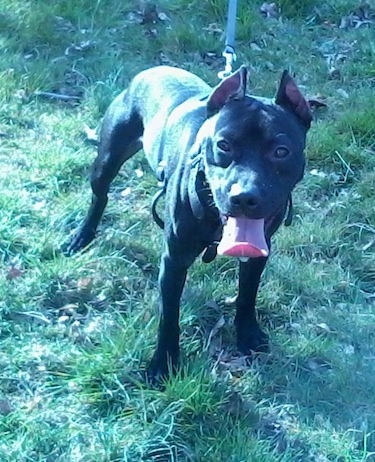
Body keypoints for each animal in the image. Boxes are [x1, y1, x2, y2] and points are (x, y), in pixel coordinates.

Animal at [67, 66, 312, 382]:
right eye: (223, 145)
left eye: (281, 151)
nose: (244, 197)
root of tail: (152, 70)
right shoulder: (174, 260)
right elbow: (169, 316)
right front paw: (163, 362)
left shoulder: (258, 253)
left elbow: (247, 294)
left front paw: (247, 332)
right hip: (107, 158)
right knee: (100, 195)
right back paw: (81, 236)